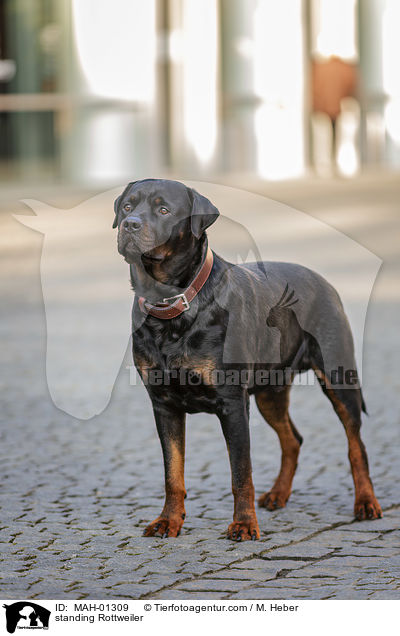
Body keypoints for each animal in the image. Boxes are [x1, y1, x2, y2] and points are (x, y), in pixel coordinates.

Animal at [114, 179, 382, 540]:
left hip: (338, 376)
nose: (130, 225)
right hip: (270, 391)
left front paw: (243, 524)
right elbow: (173, 473)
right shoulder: (163, 405)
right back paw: (279, 494)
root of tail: (324, 281)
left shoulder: (232, 403)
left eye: (164, 209)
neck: (172, 308)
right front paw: (169, 520)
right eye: (127, 207)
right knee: (292, 440)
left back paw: (366, 503)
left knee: (356, 443)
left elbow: (241, 473)